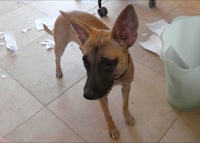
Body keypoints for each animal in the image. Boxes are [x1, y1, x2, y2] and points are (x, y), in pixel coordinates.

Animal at [43, 3, 138, 139]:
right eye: (85, 62)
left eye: (108, 63)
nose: (87, 95)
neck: (117, 77)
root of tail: (65, 14)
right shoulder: (102, 98)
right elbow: (107, 114)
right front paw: (112, 128)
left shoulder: (126, 86)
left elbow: (125, 104)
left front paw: (127, 116)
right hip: (60, 46)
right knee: (57, 59)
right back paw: (58, 70)